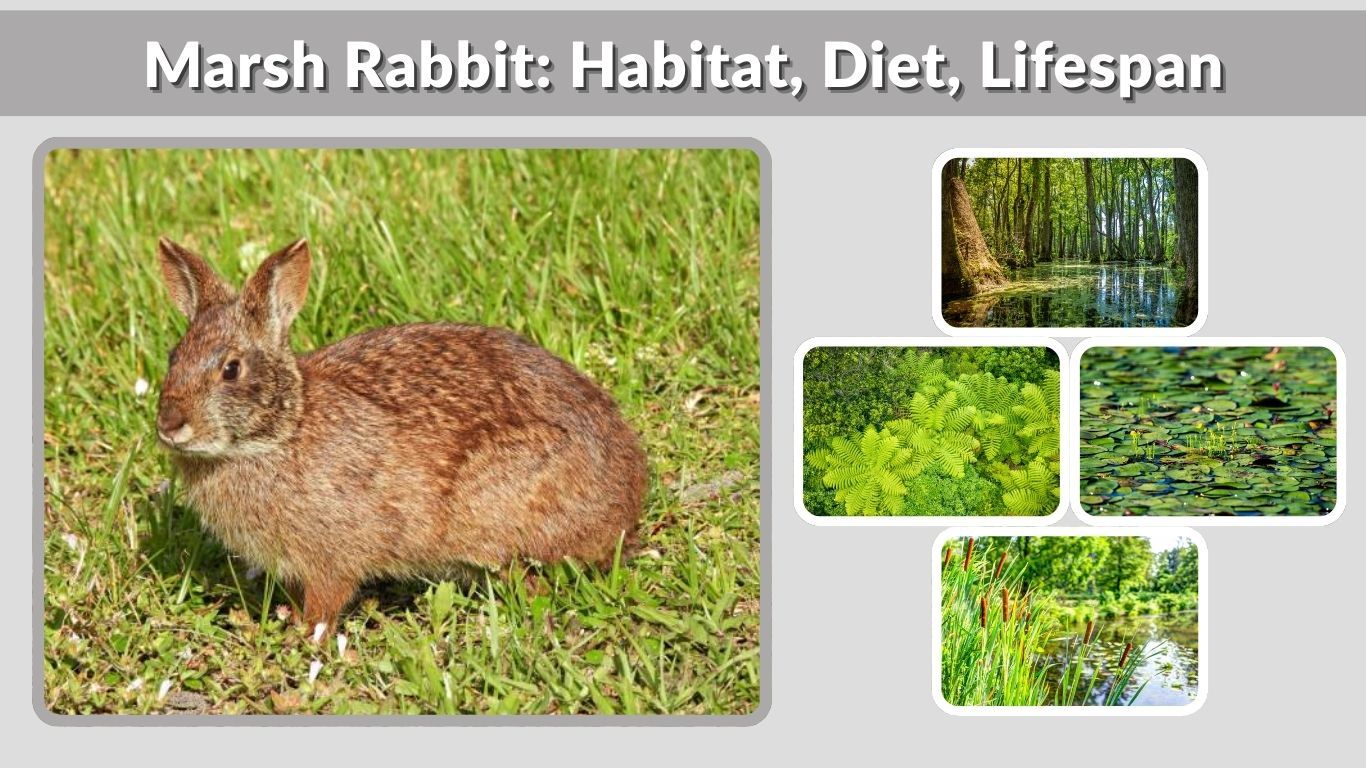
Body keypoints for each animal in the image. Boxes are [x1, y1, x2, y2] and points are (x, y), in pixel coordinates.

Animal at [153, 237, 647, 636]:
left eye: (231, 369)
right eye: (174, 355)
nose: (170, 424)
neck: (282, 432)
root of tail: (626, 505)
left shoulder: (332, 557)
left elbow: (327, 601)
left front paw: (304, 635)